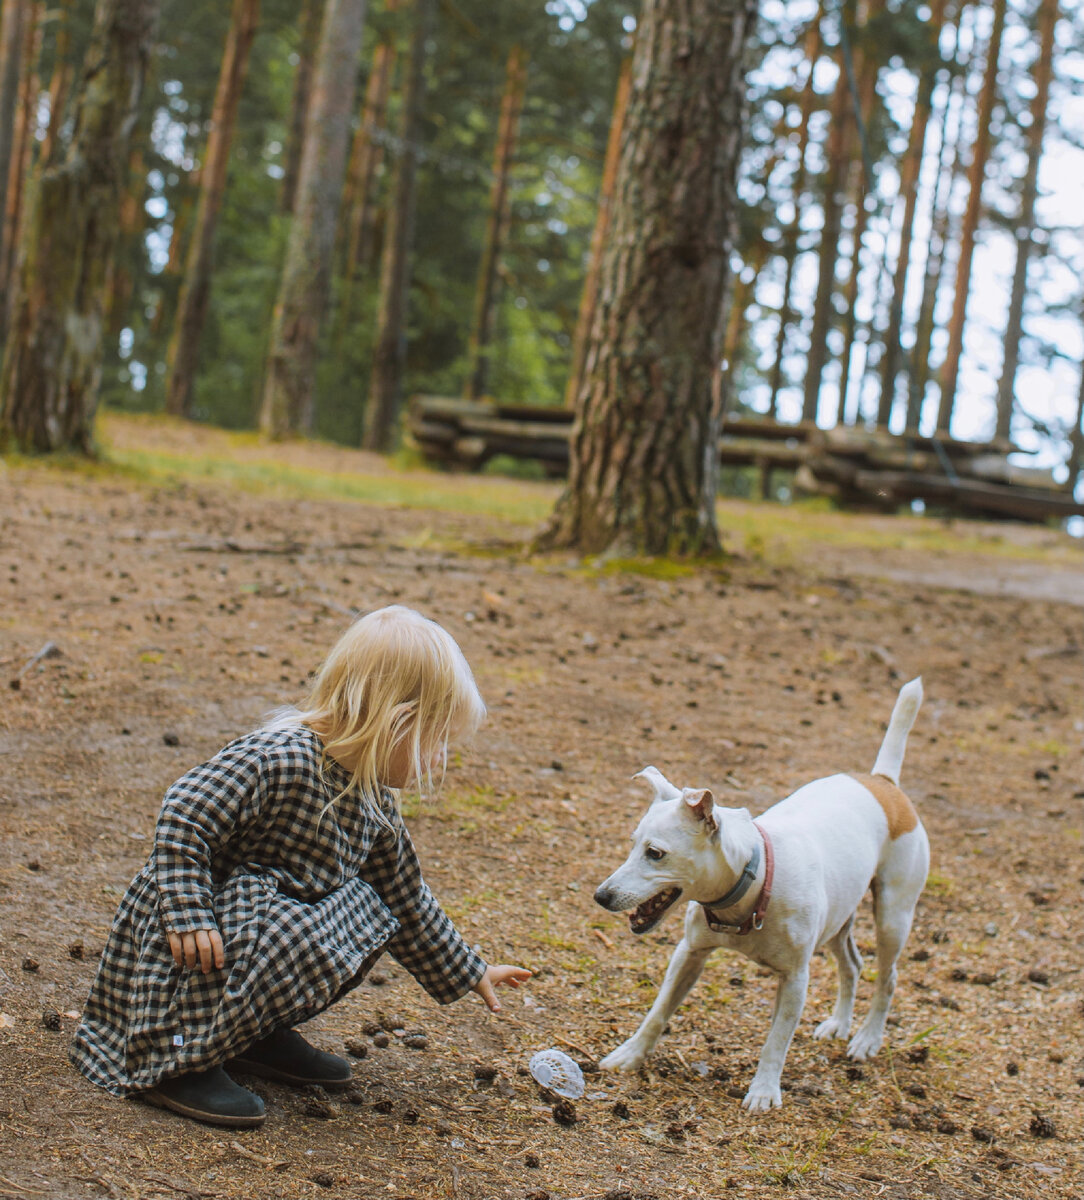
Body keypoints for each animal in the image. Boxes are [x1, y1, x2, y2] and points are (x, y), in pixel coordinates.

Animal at [593, 681, 931, 1108]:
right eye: (632, 844)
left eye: (655, 853)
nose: (602, 896)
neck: (753, 885)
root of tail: (883, 782)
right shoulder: (689, 954)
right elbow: (658, 1012)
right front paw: (630, 1054)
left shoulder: (795, 980)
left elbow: (776, 1041)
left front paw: (764, 1091)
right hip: (838, 921)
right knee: (852, 965)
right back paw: (839, 1023)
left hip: (892, 918)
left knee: (887, 978)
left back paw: (867, 1038)